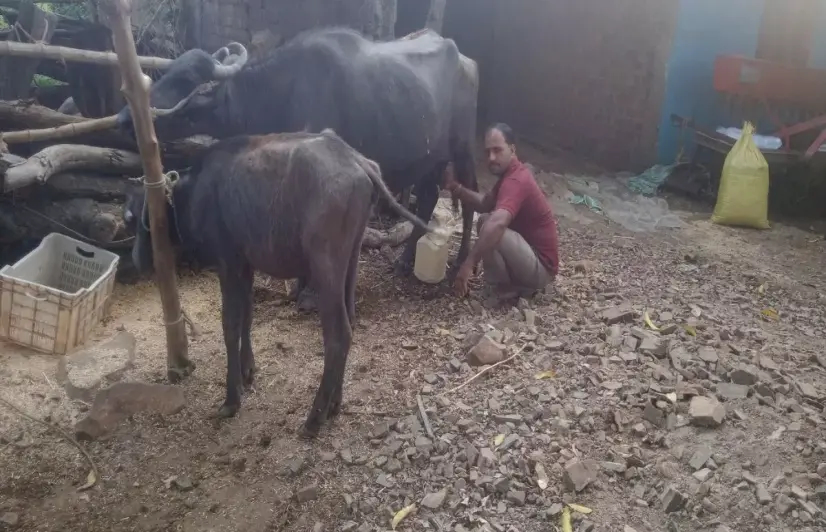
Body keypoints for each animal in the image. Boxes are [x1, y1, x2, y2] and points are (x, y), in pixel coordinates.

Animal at [115, 27, 476, 306]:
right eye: (168, 72)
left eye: (186, 80)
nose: (123, 118)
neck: (280, 94)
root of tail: (466, 60)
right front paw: (300, 286)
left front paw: (308, 292)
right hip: (428, 159)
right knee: (429, 197)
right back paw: (403, 261)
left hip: (463, 149)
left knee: (470, 199)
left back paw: (460, 264)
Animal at [125, 129, 434, 436]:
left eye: (133, 217)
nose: (137, 260)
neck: (196, 192)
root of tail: (355, 159)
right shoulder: (246, 266)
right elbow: (247, 316)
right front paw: (247, 371)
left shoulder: (228, 264)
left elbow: (230, 325)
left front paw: (231, 398)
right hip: (352, 256)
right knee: (351, 323)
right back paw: (335, 403)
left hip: (326, 266)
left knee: (338, 335)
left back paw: (314, 417)